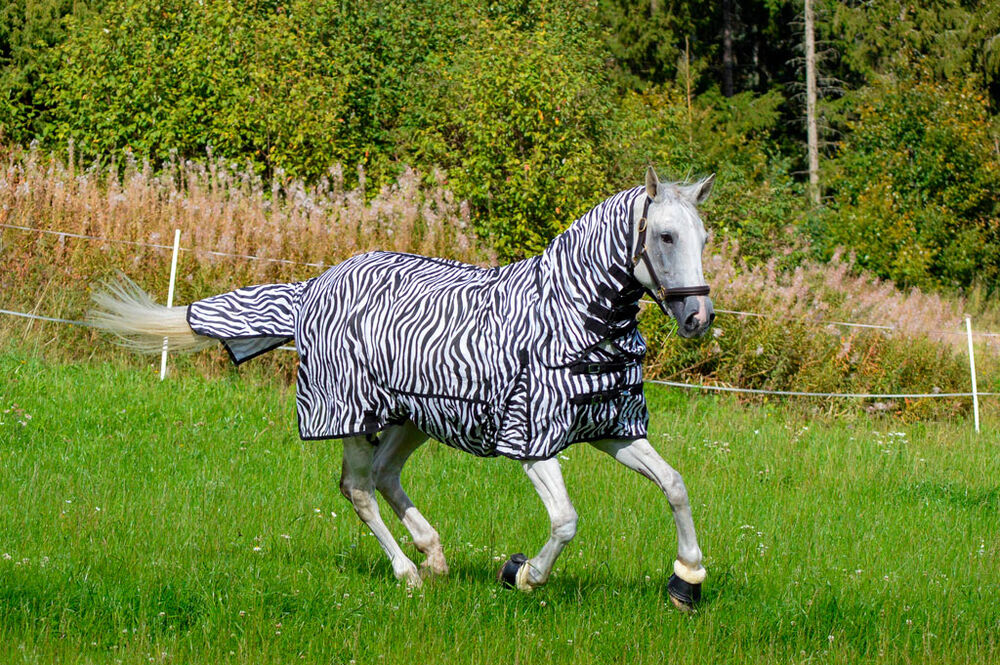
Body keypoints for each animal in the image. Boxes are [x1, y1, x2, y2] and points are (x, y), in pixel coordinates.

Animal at [90, 167, 716, 609]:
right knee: (358, 488)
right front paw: (522, 574)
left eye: (703, 237)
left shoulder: (610, 427)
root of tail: (313, 287)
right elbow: (565, 521)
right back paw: (410, 573)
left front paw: (687, 580)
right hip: (351, 417)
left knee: (385, 477)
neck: (572, 313)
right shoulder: (532, 439)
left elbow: (676, 485)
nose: (698, 319)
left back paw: (434, 555)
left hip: (413, 417)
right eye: (665, 236)